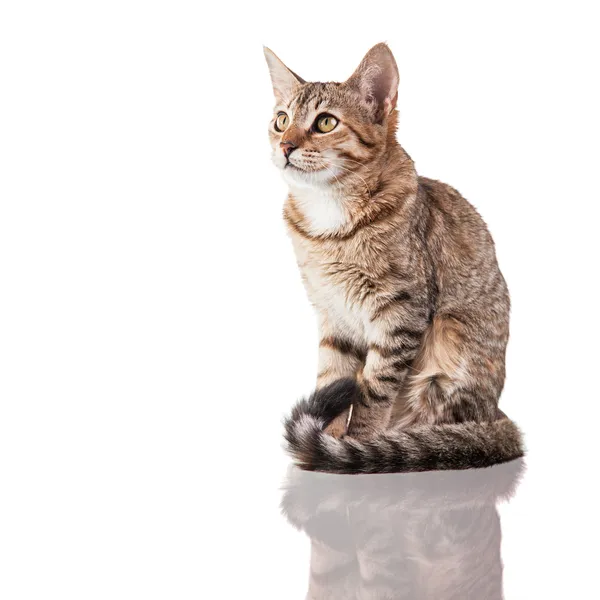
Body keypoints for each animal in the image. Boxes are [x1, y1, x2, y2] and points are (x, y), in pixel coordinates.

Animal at [264, 42, 524, 474]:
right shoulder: (332, 314)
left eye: (325, 123)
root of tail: (494, 414)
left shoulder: (401, 312)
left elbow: (373, 391)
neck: (330, 222)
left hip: (448, 350)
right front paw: (325, 441)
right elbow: (332, 379)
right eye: (281, 121)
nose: (285, 146)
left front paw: (357, 442)